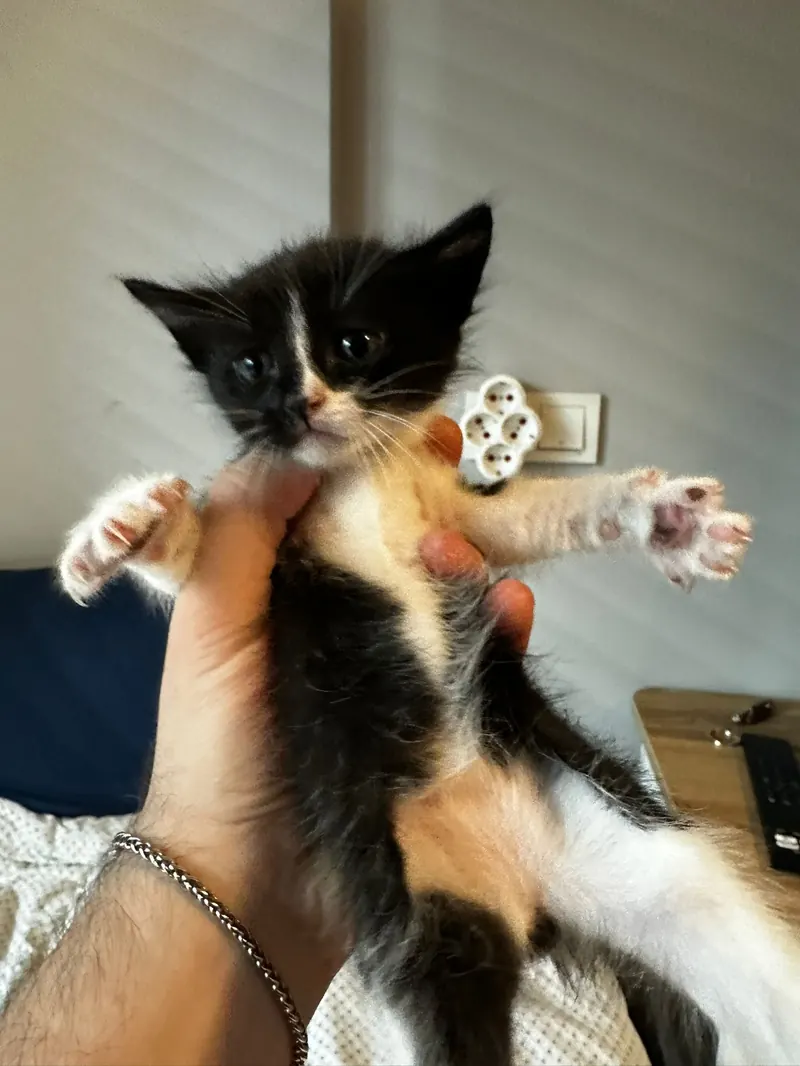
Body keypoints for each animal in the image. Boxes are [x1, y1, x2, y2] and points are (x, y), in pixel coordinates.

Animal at [59, 203, 799, 1066]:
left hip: (640, 850)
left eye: (355, 345)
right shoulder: (278, 570)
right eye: (250, 365)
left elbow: (548, 510)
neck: (359, 477)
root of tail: (533, 893)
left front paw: (668, 521)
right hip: (428, 925)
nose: (301, 404)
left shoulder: (453, 520)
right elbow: (196, 565)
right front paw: (126, 528)